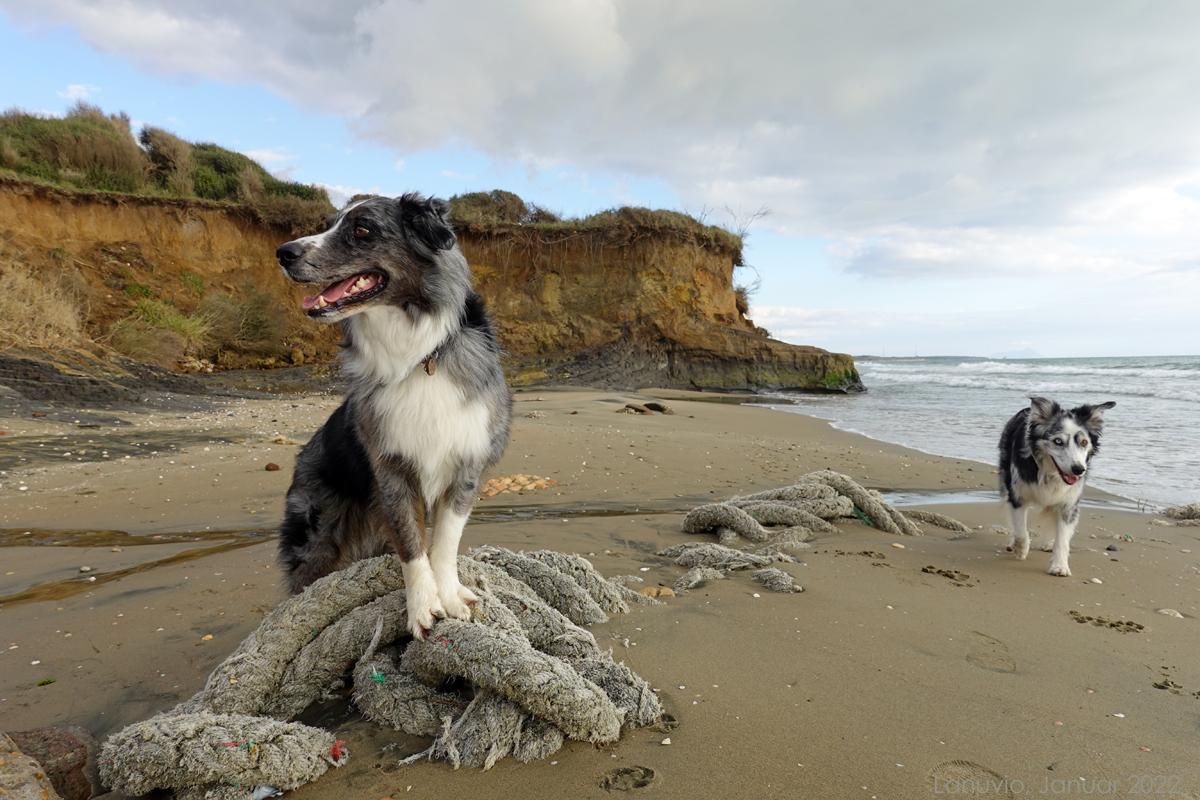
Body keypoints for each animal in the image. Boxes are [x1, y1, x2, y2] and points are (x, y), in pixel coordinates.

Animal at [993, 393, 1113, 575]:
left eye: (1084, 442)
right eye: (1057, 441)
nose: (1079, 470)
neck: (1049, 472)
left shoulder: (1068, 503)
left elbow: (1062, 538)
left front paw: (1060, 566)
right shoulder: (1018, 495)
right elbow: (1021, 528)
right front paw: (1020, 550)